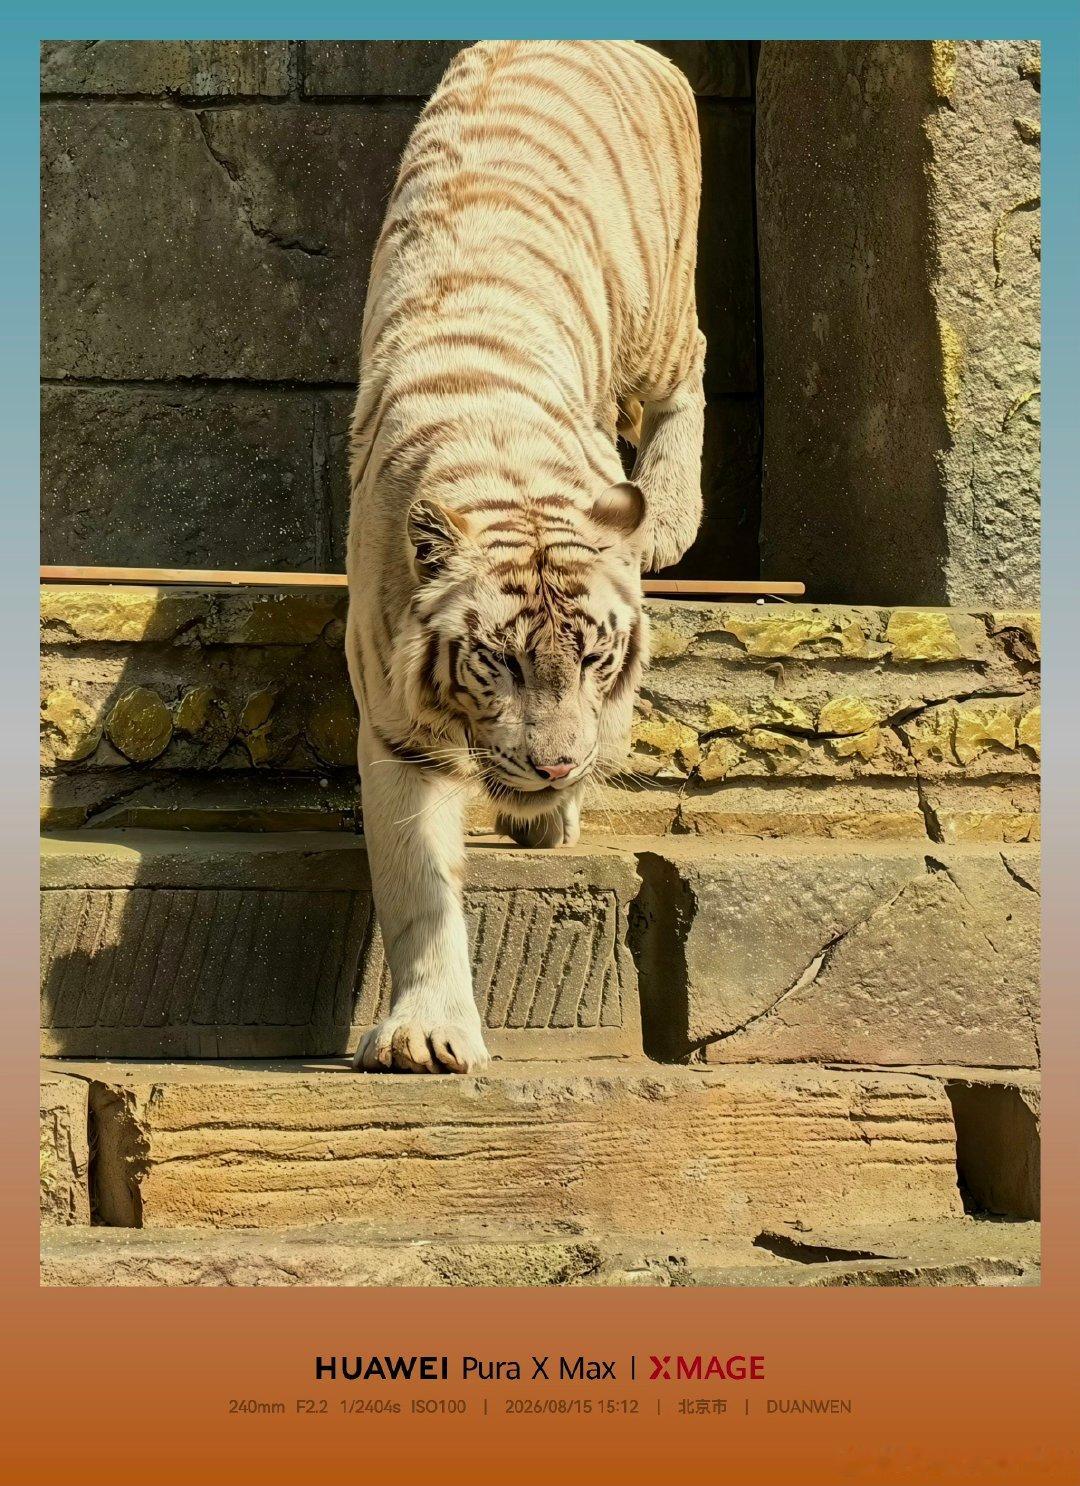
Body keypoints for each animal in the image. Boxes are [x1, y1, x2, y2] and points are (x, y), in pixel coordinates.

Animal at [345, 39, 706, 1073]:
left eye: (594, 659)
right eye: (497, 662)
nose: (554, 769)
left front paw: (553, 805)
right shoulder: (395, 725)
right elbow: (419, 891)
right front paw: (429, 1033)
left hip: (657, 308)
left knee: (694, 363)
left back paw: (671, 513)